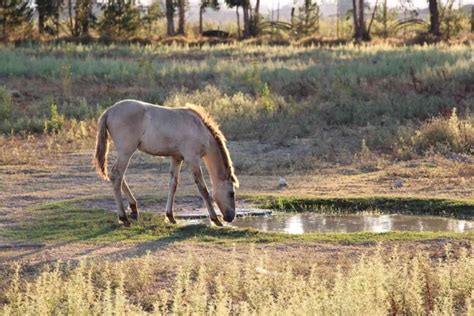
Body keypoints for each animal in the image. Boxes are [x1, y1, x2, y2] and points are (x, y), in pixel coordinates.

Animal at [94, 100, 239, 226]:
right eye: (231, 193)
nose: (231, 217)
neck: (199, 128)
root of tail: (109, 111)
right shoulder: (192, 159)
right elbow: (203, 189)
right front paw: (215, 219)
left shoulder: (176, 158)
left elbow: (173, 185)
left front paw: (170, 216)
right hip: (126, 152)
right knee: (116, 175)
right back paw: (123, 217)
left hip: (125, 153)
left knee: (119, 176)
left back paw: (134, 209)